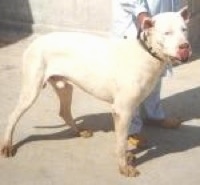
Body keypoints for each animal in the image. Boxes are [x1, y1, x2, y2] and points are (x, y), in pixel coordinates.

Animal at [1, 6, 191, 176]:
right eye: (167, 33)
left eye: (184, 30)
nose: (185, 47)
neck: (146, 53)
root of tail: (35, 41)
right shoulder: (122, 110)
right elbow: (121, 142)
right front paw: (124, 167)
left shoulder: (130, 107)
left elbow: (124, 137)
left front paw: (128, 156)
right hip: (31, 91)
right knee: (13, 116)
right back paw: (7, 145)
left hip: (65, 87)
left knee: (64, 111)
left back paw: (78, 131)